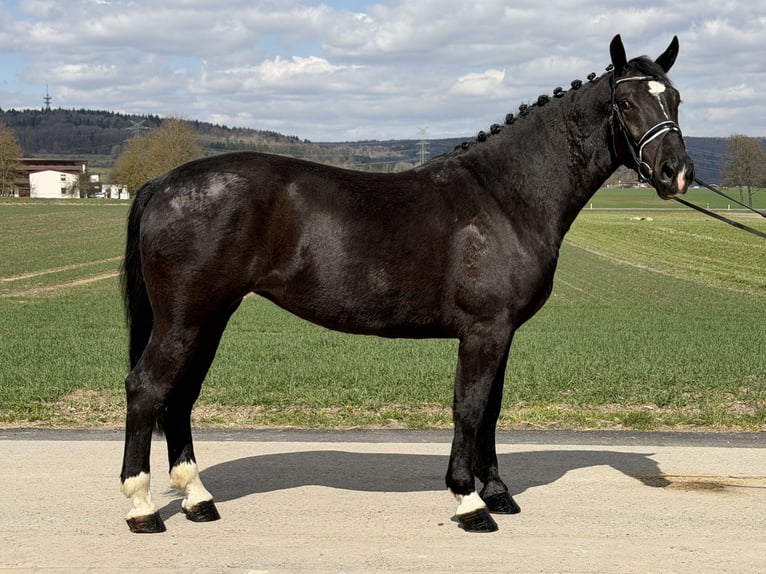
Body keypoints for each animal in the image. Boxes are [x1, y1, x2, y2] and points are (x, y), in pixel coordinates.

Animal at [119, 34, 694, 534]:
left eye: (676, 98)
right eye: (625, 102)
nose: (676, 172)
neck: (506, 195)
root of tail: (163, 182)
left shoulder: (502, 332)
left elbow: (491, 410)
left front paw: (497, 492)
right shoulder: (483, 331)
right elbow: (468, 408)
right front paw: (469, 502)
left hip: (210, 317)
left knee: (180, 396)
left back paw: (197, 500)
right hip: (185, 319)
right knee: (147, 389)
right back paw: (142, 508)